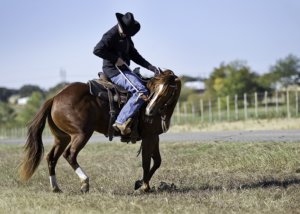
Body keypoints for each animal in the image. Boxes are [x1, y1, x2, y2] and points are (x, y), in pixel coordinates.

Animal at [19, 70, 182, 192]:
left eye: (168, 90)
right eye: (156, 88)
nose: (149, 111)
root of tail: (55, 98)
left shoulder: (154, 137)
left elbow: (157, 161)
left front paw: (140, 183)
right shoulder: (149, 137)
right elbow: (146, 162)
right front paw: (145, 187)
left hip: (62, 138)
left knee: (51, 157)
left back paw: (56, 188)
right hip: (81, 134)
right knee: (70, 155)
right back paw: (84, 183)